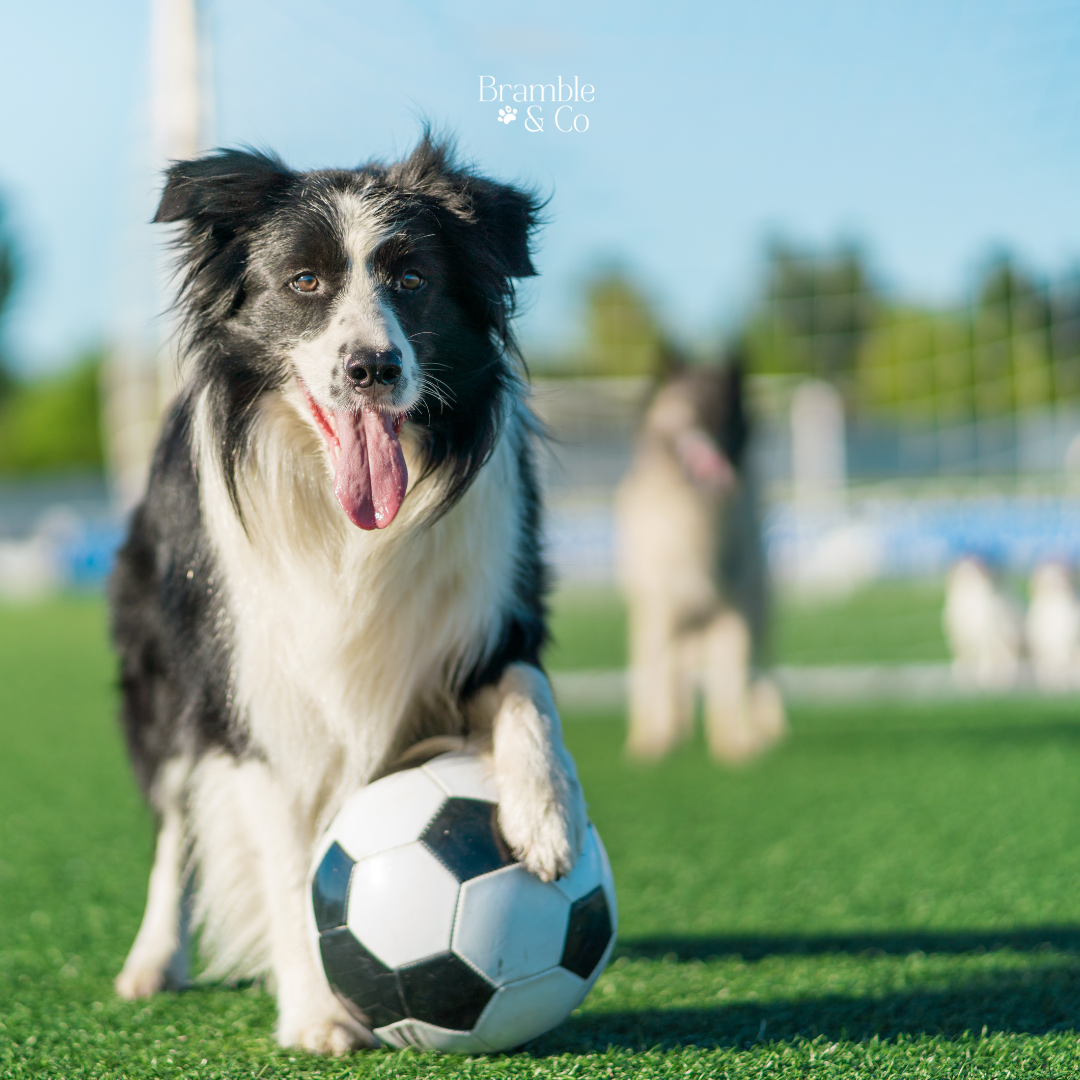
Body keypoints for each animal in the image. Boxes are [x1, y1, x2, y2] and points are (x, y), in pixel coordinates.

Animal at [111, 139, 583, 1049]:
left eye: (412, 279)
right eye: (304, 281)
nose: (373, 367)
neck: (348, 530)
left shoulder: (493, 612)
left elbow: (527, 693)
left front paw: (546, 815)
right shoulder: (252, 698)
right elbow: (287, 868)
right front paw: (318, 1015)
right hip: (165, 678)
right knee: (172, 827)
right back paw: (152, 960)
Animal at [617, 354, 786, 760]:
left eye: (727, 409)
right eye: (692, 408)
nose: (714, 431)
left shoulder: (734, 614)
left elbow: (731, 684)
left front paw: (735, 744)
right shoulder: (659, 612)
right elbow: (657, 682)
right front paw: (654, 742)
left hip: (757, 616)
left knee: (759, 675)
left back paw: (763, 728)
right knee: (664, 679)